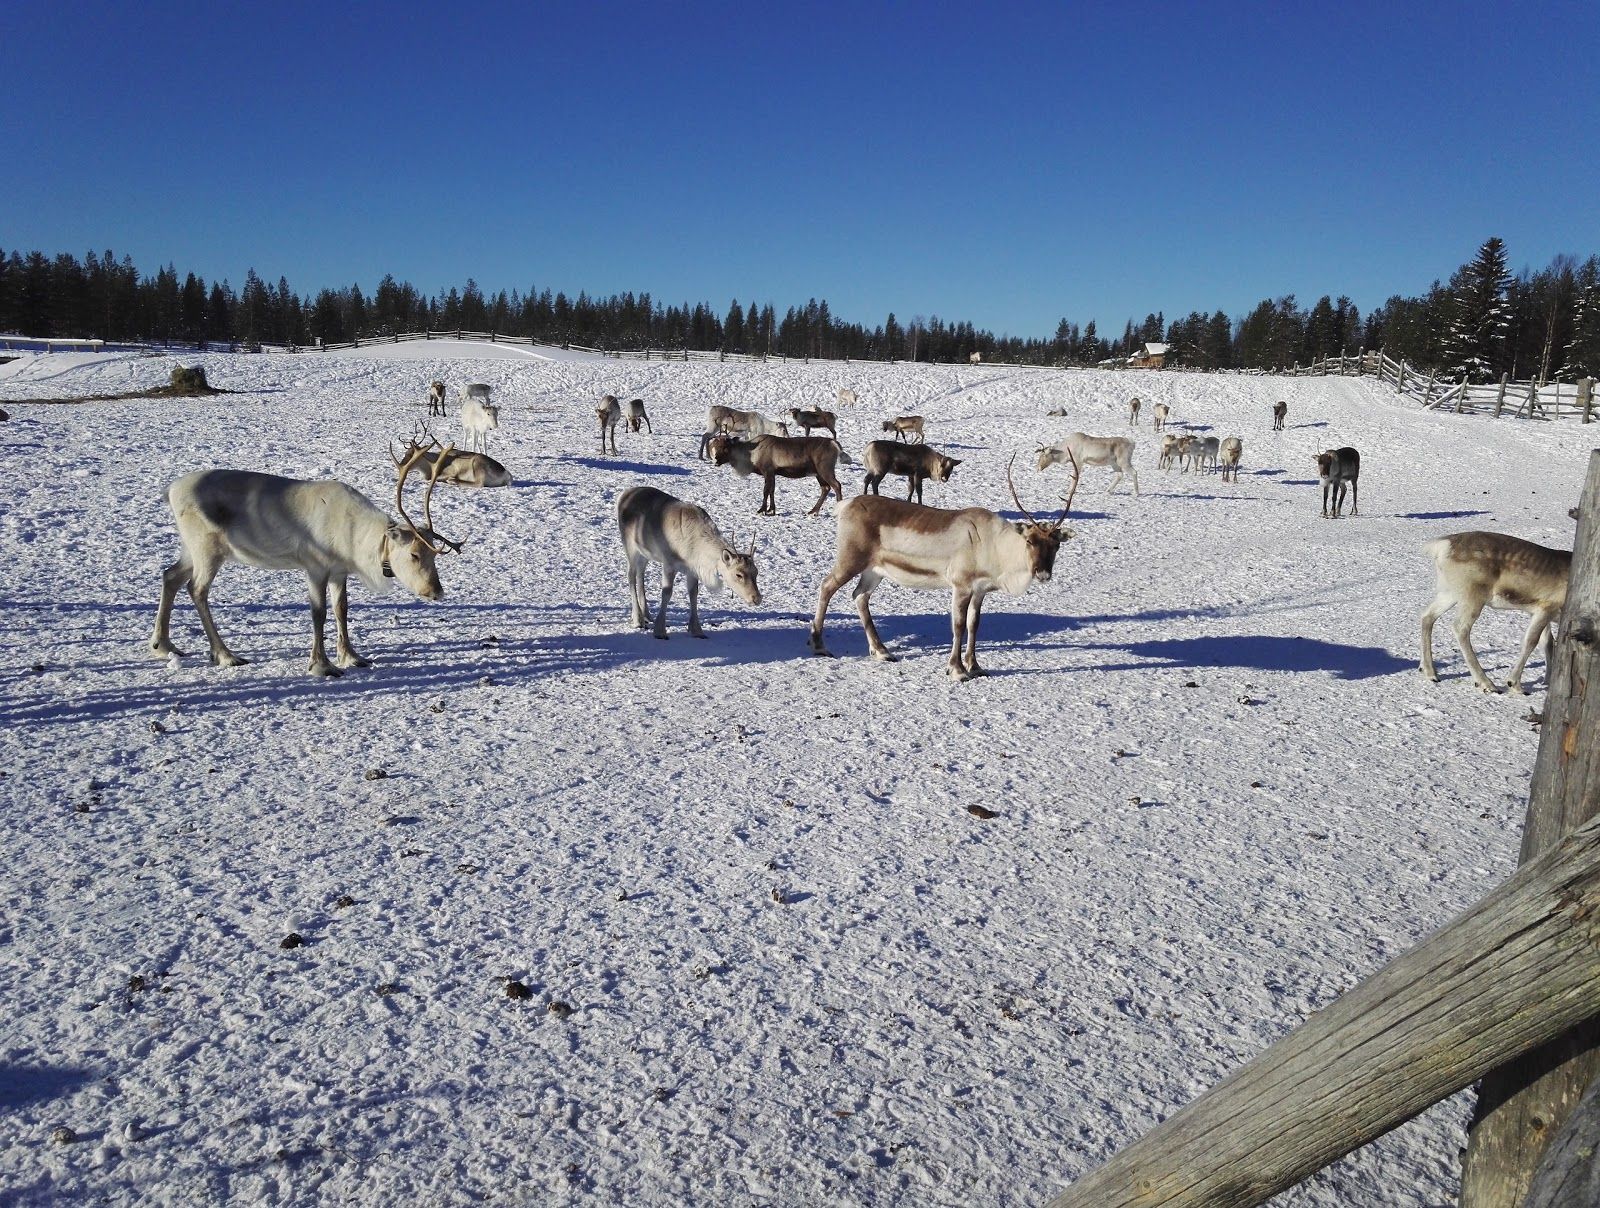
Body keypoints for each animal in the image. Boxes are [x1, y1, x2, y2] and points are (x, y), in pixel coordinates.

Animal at [149, 446, 461, 677]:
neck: (357, 542)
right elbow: (318, 613)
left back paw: (163, 645)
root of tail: (170, 491)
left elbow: (341, 609)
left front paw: (351, 656)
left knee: (170, 575)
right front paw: (321, 665)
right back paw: (225, 655)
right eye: (414, 554)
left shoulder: (338, 571)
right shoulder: (315, 566)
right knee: (197, 589)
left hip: (189, 548)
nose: (436, 592)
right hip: (207, 547)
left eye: (434, 554)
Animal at [617, 486, 761, 639]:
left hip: (644, 552)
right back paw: (638, 619)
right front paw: (660, 631)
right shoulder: (669, 563)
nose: (757, 598)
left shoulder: (692, 569)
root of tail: (622, 495)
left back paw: (647, 614)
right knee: (631, 575)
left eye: (756, 572)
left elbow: (693, 593)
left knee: (641, 573)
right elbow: (667, 593)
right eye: (738, 574)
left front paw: (696, 630)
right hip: (630, 546)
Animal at [810, 454, 1073, 681]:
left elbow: (974, 625)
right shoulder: (961, 584)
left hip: (874, 570)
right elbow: (958, 625)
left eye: (1056, 545)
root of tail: (846, 505)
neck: (996, 547)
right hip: (851, 558)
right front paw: (957, 670)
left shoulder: (980, 590)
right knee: (826, 586)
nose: (1043, 573)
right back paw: (819, 645)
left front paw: (975, 667)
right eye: (1029, 541)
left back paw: (882, 651)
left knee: (860, 595)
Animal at [1420, 531, 1572, 694]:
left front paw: (1547, 682)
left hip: (1449, 592)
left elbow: (1547, 642)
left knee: (1427, 616)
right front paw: (1515, 684)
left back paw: (1430, 672)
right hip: (1472, 594)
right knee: (1459, 628)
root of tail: (1441, 546)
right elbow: (1531, 642)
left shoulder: (1538, 612)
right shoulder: (1547, 607)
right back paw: (1486, 683)